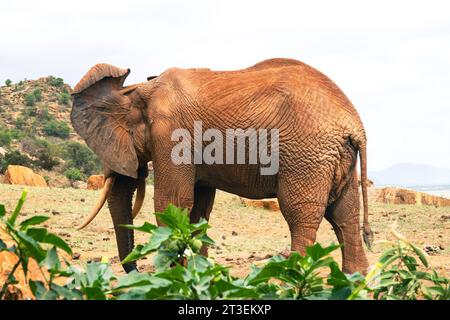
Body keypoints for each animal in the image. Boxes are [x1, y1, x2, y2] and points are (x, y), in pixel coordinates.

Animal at [70, 57, 372, 272]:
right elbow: (198, 210)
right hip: (337, 158)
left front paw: (169, 278)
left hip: (306, 155)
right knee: (344, 217)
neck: (138, 91)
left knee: (301, 217)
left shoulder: (171, 134)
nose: (133, 270)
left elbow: (172, 203)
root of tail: (354, 124)